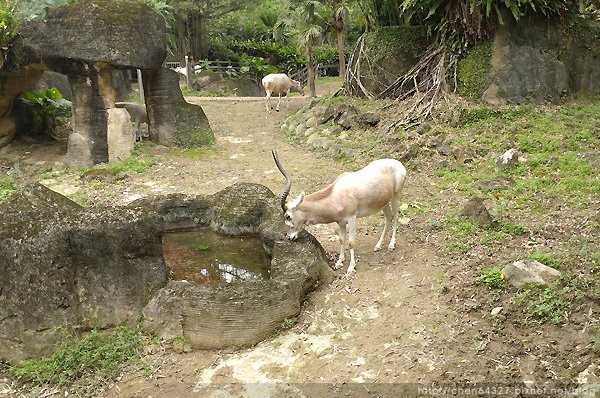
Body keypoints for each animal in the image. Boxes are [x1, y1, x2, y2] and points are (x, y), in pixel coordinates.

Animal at [272, 151, 408, 276]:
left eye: (288, 216)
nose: (289, 237)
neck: (336, 195)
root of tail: (398, 164)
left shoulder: (352, 218)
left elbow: (351, 242)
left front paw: (351, 268)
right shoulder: (341, 222)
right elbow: (342, 240)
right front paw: (339, 262)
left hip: (396, 196)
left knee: (396, 217)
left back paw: (391, 245)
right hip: (383, 203)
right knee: (388, 217)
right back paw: (378, 246)